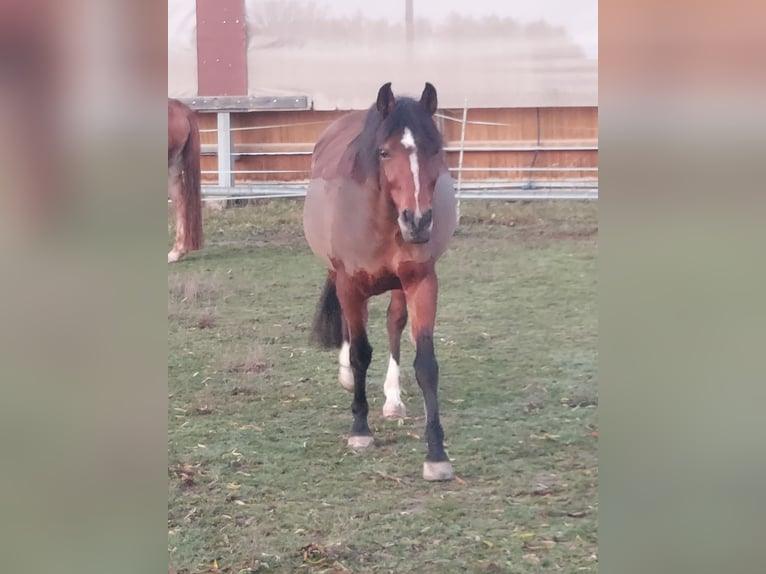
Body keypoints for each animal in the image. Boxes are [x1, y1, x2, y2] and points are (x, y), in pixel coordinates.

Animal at [304, 82, 460, 482]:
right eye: (385, 152)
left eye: (435, 149)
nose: (418, 221)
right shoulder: (349, 284)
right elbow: (360, 352)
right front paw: (360, 430)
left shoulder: (421, 281)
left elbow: (426, 364)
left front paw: (436, 454)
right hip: (340, 278)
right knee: (350, 330)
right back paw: (347, 377)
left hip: (399, 286)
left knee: (393, 325)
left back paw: (393, 399)